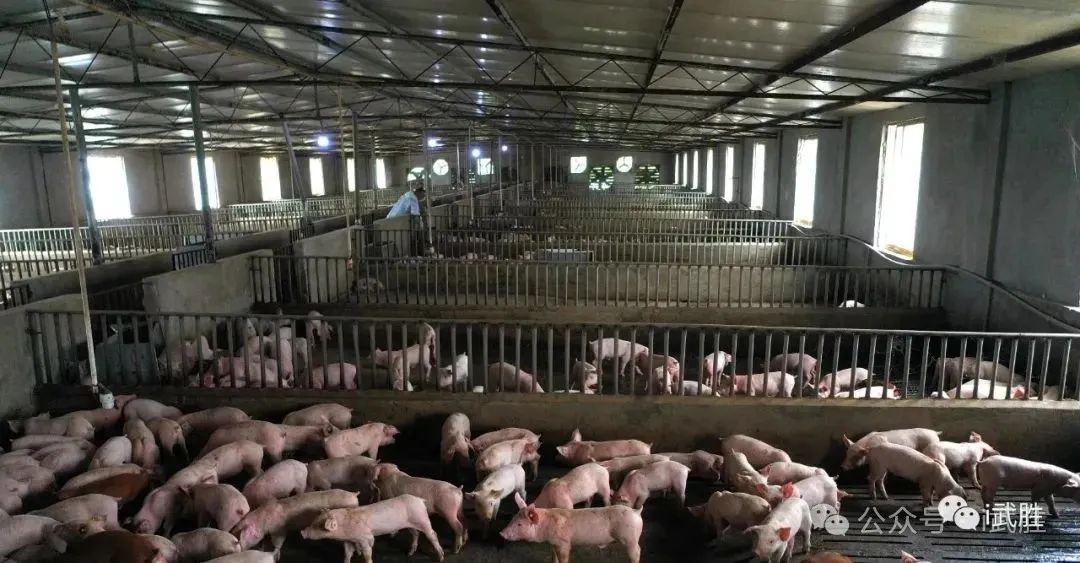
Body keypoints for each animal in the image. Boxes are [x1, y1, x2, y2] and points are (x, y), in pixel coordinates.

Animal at [230, 489, 361, 556]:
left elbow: (279, 541)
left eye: (240, 534)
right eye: (236, 527)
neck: (264, 519)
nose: (241, 550)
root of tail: (354, 495)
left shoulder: (279, 529)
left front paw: (274, 553)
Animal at [298, 496, 443, 563]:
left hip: (423, 519)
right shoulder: (349, 540)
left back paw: (440, 557)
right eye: (314, 521)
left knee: (433, 534)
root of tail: (420, 500)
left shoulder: (365, 537)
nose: (302, 532)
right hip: (409, 524)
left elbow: (367, 553)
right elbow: (347, 553)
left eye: (318, 525)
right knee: (415, 533)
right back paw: (409, 554)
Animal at [500, 493, 643, 563]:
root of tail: (636, 512)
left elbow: (564, 557)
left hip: (630, 538)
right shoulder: (554, 543)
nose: (501, 533)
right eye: (513, 518)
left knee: (637, 552)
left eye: (519, 524)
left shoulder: (564, 543)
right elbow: (554, 556)